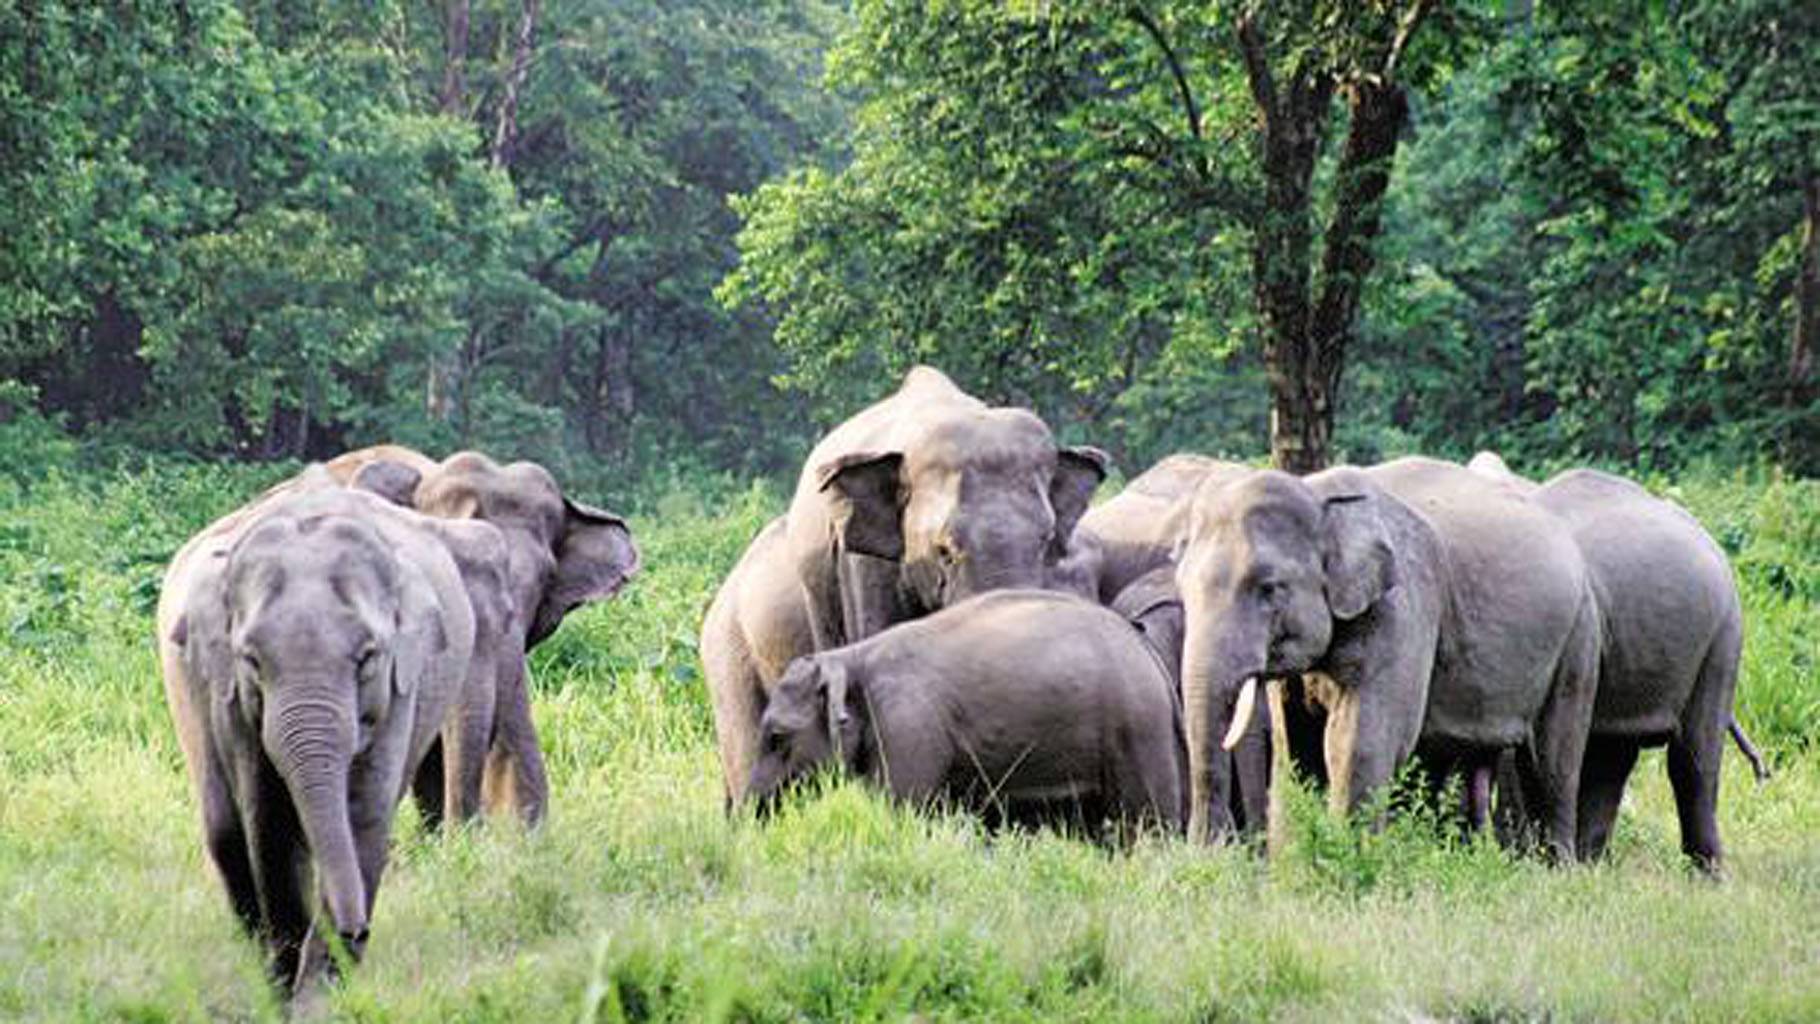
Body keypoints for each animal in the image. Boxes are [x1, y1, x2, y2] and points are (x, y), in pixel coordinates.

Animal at [158, 475, 503, 996]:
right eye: (252, 660)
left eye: (367, 657)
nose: (355, 930)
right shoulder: (228, 695)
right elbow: (268, 819)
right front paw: (287, 987)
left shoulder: (401, 686)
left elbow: (365, 811)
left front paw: (321, 990)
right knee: (223, 829)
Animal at [746, 590, 1184, 834]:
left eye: (776, 737)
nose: (747, 818)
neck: (850, 656)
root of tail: (1147, 651)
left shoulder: (908, 723)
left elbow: (900, 808)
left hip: (1138, 728)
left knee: (1147, 825)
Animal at [1172, 457, 1601, 859]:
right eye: (1182, 587)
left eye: (1269, 588)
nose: (1207, 853)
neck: (1319, 494)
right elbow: (1295, 744)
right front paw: (1296, 862)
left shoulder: (1401, 607)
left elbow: (1357, 741)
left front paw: (1345, 858)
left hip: (1579, 638)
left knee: (1552, 762)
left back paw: (1555, 868)